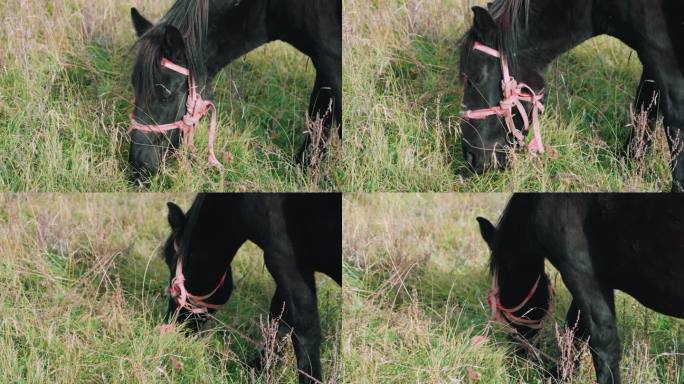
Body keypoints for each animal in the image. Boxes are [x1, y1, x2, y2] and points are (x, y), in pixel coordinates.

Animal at [161, 194, 342, 382]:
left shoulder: (284, 258)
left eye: (168, 259)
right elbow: (280, 320)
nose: (173, 323)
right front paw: (258, 368)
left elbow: (304, 329)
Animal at [460, 0, 684, 191]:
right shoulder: (651, 62)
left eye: (476, 78)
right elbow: (644, 110)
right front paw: (629, 164)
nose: (469, 157)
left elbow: (674, 125)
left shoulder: (664, 58)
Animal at [478, 194, 684, 382]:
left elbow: (602, 344)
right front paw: (559, 373)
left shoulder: (581, 274)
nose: (517, 353)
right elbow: (574, 329)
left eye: (504, 280)